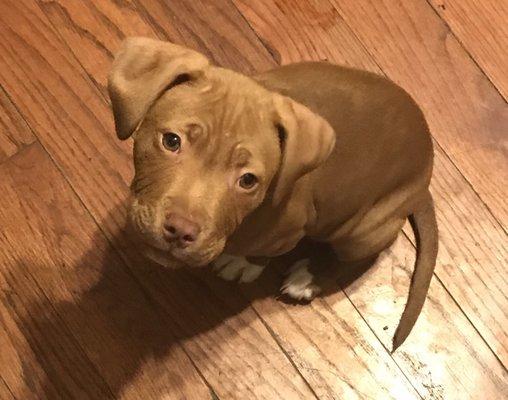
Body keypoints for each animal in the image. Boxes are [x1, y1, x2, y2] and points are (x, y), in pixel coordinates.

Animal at [109, 37, 438, 350]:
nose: (180, 231)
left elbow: (262, 252)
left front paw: (243, 262)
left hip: (364, 231)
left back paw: (308, 278)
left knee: (354, 258)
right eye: (171, 141)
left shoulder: (289, 231)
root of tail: (423, 182)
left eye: (248, 180)